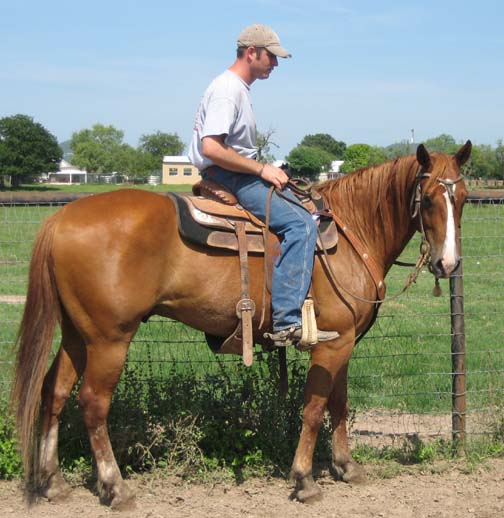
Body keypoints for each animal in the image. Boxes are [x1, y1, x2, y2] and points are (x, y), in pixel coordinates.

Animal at [9, 141, 470, 508]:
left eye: (462, 197)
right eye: (429, 199)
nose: (448, 264)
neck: (351, 232)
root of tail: (61, 219)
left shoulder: (345, 342)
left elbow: (338, 404)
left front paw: (346, 467)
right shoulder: (331, 344)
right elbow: (314, 408)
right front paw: (304, 480)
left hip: (77, 335)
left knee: (54, 394)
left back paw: (53, 483)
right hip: (109, 339)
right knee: (92, 403)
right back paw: (115, 487)